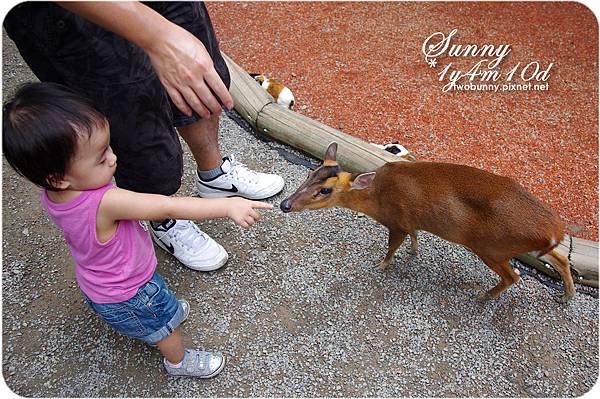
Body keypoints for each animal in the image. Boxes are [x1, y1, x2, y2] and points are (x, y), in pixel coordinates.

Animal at [282, 142, 576, 302]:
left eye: (325, 190)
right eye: (310, 174)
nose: (286, 204)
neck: (375, 198)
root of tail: (554, 228)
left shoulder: (397, 222)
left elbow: (391, 248)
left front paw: (381, 265)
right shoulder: (411, 221)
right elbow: (414, 237)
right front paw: (414, 252)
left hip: (490, 247)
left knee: (514, 276)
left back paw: (483, 296)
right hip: (522, 247)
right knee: (561, 258)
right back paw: (566, 295)